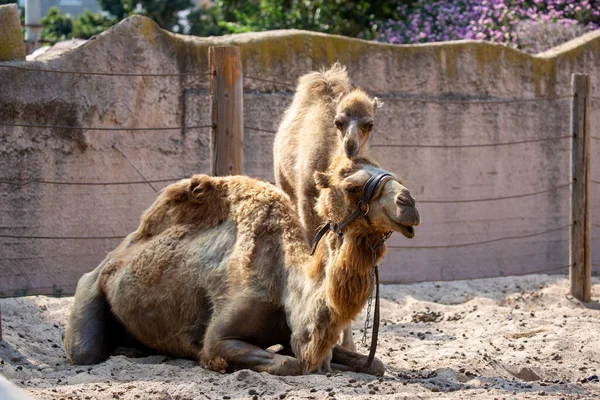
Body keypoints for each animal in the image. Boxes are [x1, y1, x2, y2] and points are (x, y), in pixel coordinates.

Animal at [61, 155, 418, 376]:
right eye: (352, 187)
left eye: (397, 177)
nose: (409, 203)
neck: (287, 286)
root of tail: (110, 260)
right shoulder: (218, 339)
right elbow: (289, 364)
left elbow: (374, 364)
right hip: (89, 290)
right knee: (84, 351)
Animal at [272, 61, 380, 350]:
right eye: (338, 122)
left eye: (369, 124)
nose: (350, 145)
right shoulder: (308, 203)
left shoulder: (347, 220)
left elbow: (342, 262)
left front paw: (348, 344)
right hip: (286, 185)